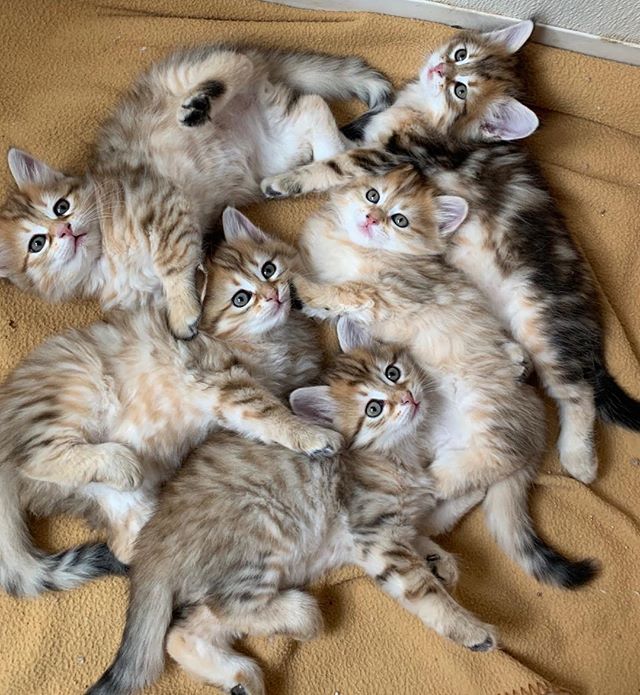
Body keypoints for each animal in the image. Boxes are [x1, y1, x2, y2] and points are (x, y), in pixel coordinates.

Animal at [0, 44, 392, 338]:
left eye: (60, 206)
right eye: (37, 243)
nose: (65, 229)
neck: (104, 255)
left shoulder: (163, 202)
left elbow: (172, 261)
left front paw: (183, 310)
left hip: (183, 78)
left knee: (238, 66)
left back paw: (201, 103)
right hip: (278, 145)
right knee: (312, 108)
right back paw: (315, 165)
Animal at [0, 209, 340, 596]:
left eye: (268, 269)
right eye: (241, 298)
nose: (274, 295)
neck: (268, 339)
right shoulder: (221, 381)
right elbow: (269, 412)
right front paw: (310, 433)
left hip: (123, 499)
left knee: (133, 543)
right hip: (78, 387)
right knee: (35, 457)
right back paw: (119, 462)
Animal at [86, 318, 496, 695]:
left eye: (392, 372)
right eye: (374, 409)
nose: (408, 398)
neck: (400, 454)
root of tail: (150, 546)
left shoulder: (405, 513)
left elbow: (431, 516)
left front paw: (440, 549)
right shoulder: (374, 533)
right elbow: (424, 589)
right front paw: (468, 627)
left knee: (182, 630)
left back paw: (238, 677)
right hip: (265, 530)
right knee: (230, 607)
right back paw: (301, 615)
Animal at [258, 17, 640, 484]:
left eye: (461, 90)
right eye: (460, 56)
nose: (440, 70)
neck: (427, 114)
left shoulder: (388, 157)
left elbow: (334, 161)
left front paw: (286, 179)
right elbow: (347, 130)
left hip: (543, 320)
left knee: (576, 389)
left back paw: (579, 457)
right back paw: (515, 361)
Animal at [290, 170, 596, 588]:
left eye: (400, 220)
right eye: (373, 195)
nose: (371, 218)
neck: (356, 248)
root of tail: (537, 429)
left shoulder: (394, 291)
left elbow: (350, 292)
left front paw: (303, 288)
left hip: (487, 418)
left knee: (484, 464)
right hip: (439, 445)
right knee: (459, 496)